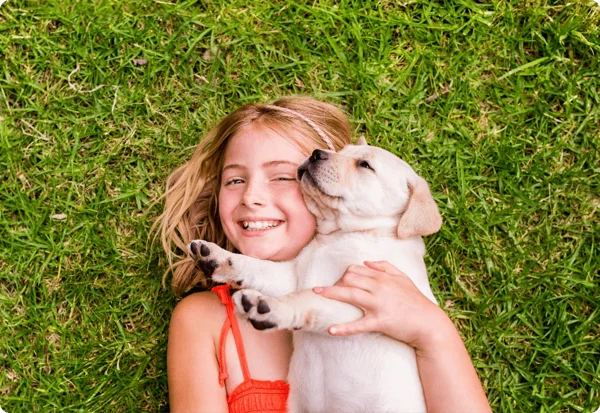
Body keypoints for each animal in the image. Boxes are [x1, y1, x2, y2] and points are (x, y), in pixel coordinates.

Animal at [190, 139, 442, 412]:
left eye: (365, 165)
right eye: (341, 151)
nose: (315, 154)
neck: (343, 235)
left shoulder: (365, 302)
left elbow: (307, 297)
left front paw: (270, 306)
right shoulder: (293, 275)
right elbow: (258, 266)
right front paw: (218, 258)